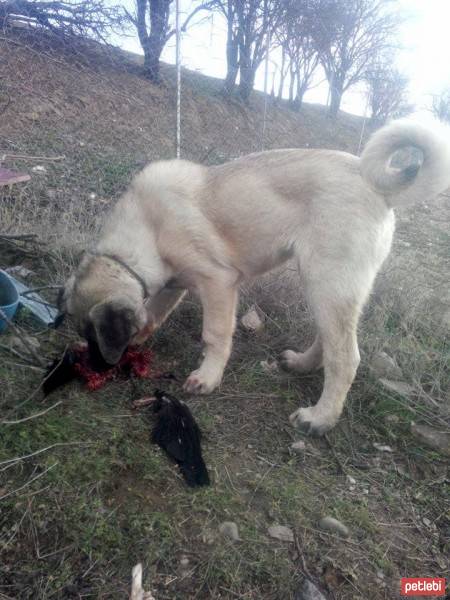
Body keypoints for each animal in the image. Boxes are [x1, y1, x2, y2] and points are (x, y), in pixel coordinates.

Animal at [59, 119, 450, 434]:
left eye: (96, 335)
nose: (95, 369)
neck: (146, 228)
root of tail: (376, 185)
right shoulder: (173, 284)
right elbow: (152, 313)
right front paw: (139, 336)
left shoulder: (217, 282)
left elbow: (215, 335)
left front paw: (208, 377)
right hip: (325, 287)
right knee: (330, 340)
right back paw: (301, 365)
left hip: (327, 283)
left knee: (346, 357)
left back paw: (320, 418)